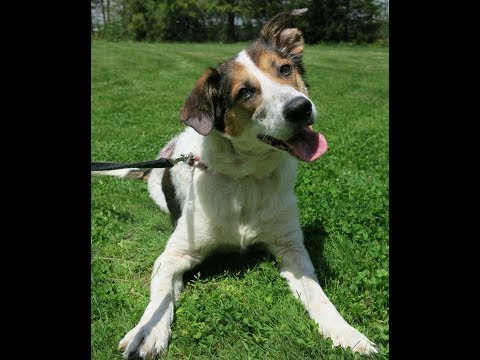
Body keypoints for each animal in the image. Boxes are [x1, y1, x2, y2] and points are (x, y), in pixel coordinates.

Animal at [92, 8, 376, 360]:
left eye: (285, 69)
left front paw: (347, 333)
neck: (246, 178)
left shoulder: (291, 248)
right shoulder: (174, 255)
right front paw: (147, 332)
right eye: (245, 92)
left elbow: (317, 295)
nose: (301, 108)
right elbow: (160, 296)